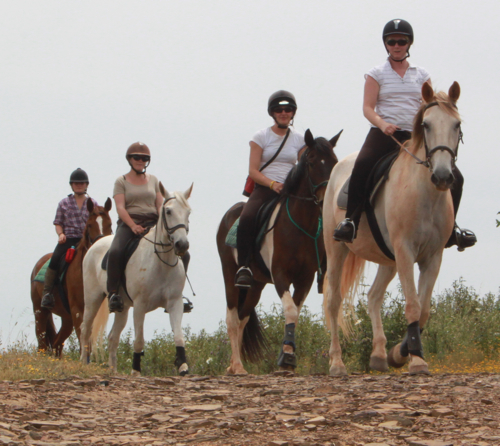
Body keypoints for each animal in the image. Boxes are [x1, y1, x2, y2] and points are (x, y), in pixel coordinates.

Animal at [31, 197, 113, 358]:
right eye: (89, 225)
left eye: (110, 224)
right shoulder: (77, 309)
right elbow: (83, 340)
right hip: (40, 311)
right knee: (42, 342)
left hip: (66, 318)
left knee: (56, 343)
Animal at [81, 183, 192, 374]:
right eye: (168, 211)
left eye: (188, 212)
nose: (182, 245)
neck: (161, 263)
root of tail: (95, 244)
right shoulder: (140, 306)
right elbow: (139, 340)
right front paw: (136, 371)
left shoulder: (174, 303)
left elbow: (179, 337)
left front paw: (183, 367)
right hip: (92, 300)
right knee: (85, 329)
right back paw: (82, 363)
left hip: (123, 308)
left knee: (112, 337)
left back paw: (113, 371)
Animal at [217, 130, 342, 376]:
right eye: (311, 160)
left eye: (334, 161)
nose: (326, 198)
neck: (300, 224)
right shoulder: (280, 275)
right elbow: (290, 310)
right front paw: (287, 358)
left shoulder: (305, 279)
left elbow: (294, 312)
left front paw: (288, 356)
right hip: (230, 275)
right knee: (232, 318)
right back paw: (237, 367)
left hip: (256, 284)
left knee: (243, 318)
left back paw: (235, 364)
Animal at [324, 82, 464, 374]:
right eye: (426, 125)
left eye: (457, 124)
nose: (442, 177)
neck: (425, 194)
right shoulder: (406, 251)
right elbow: (412, 305)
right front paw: (416, 360)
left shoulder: (432, 257)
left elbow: (424, 309)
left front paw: (401, 353)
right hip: (337, 249)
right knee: (334, 302)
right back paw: (337, 363)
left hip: (388, 259)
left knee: (373, 296)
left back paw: (378, 355)